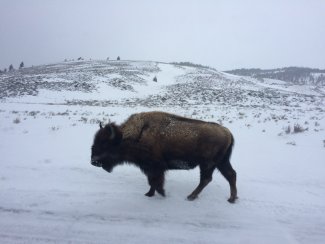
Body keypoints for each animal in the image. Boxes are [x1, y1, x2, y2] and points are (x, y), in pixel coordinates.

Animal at [90, 111, 237, 203]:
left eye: (105, 144)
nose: (93, 161)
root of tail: (227, 132)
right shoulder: (150, 168)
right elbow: (152, 182)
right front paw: (149, 194)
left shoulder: (154, 167)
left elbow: (155, 181)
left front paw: (162, 194)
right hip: (220, 162)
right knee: (230, 175)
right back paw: (231, 199)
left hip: (208, 164)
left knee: (207, 179)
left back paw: (190, 196)